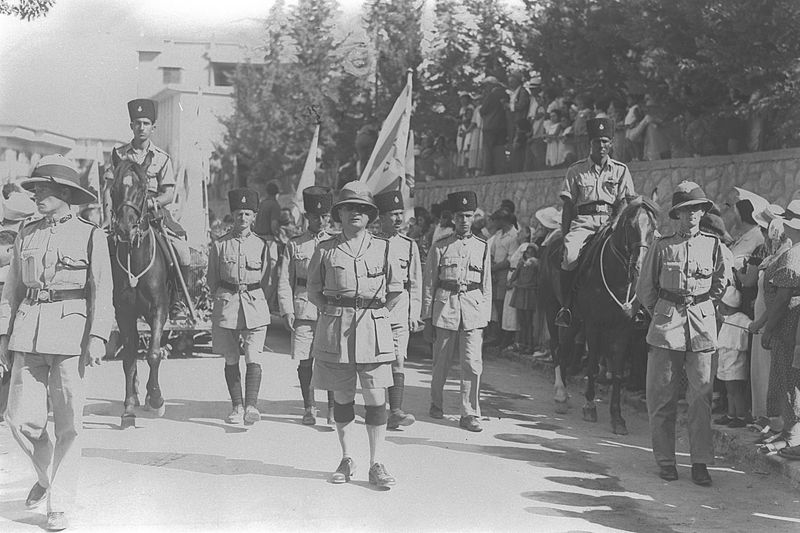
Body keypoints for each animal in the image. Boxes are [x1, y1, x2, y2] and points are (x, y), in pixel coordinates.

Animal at [540, 197, 660, 434]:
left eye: (652, 228)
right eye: (630, 226)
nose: (640, 266)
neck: (618, 278)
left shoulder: (623, 328)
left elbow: (617, 373)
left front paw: (617, 417)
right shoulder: (594, 324)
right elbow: (593, 367)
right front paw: (589, 406)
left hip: (575, 320)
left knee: (566, 349)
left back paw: (565, 394)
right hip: (553, 309)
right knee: (557, 348)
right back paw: (560, 393)